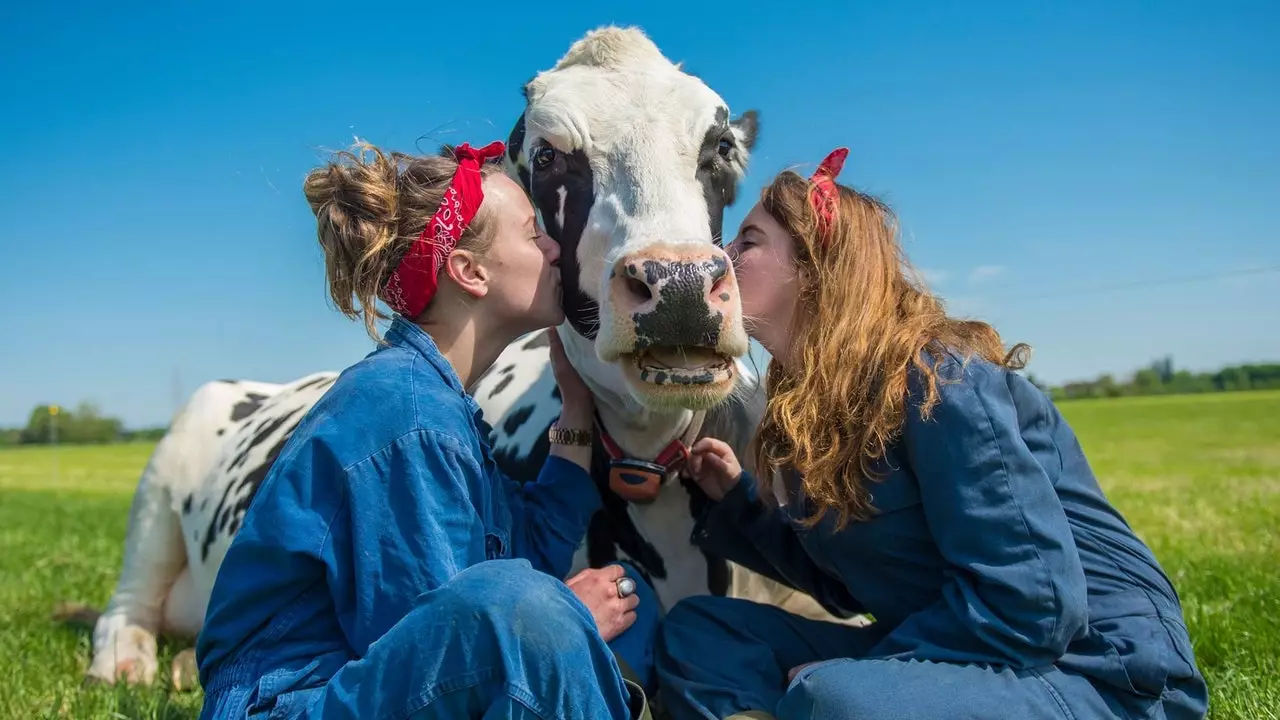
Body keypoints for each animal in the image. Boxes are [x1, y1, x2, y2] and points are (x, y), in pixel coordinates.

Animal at [74, 26, 855, 691]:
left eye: (719, 147)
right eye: (547, 155)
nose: (681, 284)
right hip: (160, 480)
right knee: (126, 607)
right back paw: (132, 663)